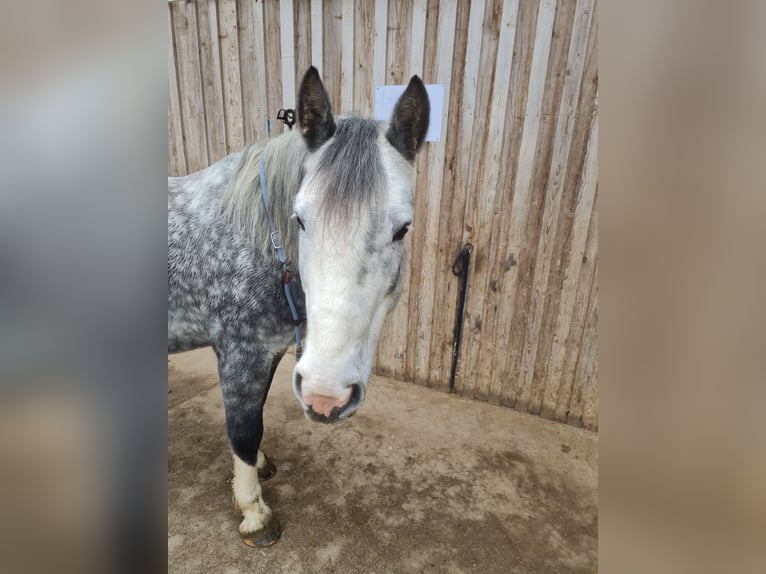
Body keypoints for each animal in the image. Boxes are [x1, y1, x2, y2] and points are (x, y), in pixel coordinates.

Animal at [170, 68, 432, 548]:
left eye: (402, 229)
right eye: (300, 220)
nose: (326, 396)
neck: (252, 239)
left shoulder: (268, 352)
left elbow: (254, 418)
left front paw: (255, 468)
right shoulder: (239, 351)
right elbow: (244, 426)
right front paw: (254, 512)